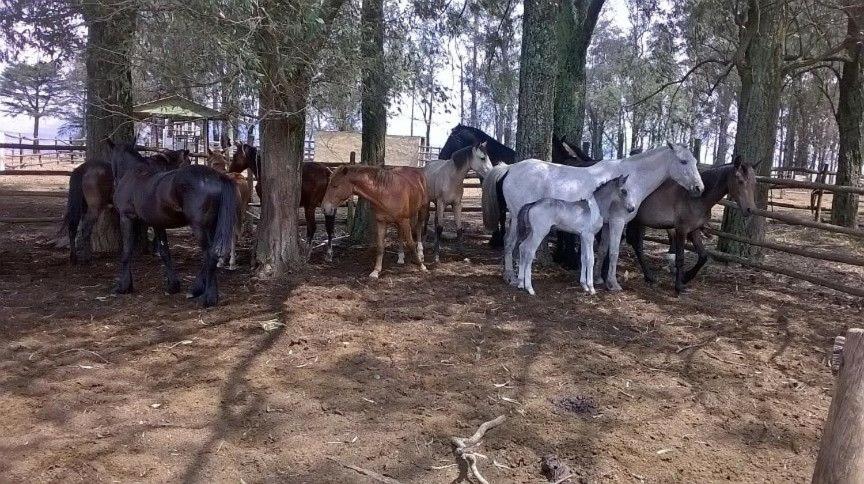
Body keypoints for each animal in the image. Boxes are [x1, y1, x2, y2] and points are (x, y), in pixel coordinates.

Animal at [109, 141, 237, 308]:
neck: (133, 175)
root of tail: (217, 177)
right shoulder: (157, 223)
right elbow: (164, 252)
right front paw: (173, 286)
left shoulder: (126, 218)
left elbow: (126, 251)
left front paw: (123, 286)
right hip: (213, 226)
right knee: (211, 254)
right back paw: (196, 290)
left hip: (199, 227)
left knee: (210, 255)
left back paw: (208, 298)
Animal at [482, 143, 705, 290]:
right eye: (683, 161)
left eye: (695, 161)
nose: (699, 188)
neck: (632, 178)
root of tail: (510, 168)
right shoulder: (617, 222)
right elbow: (614, 252)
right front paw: (613, 284)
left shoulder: (605, 225)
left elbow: (602, 250)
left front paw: (597, 279)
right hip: (517, 217)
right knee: (512, 243)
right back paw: (513, 277)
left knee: (512, 244)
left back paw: (512, 277)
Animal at [624, 155, 758, 293]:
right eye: (740, 181)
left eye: (754, 183)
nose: (750, 210)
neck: (696, 198)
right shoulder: (681, 230)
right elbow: (680, 258)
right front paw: (679, 286)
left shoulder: (694, 230)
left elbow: (703, 256)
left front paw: (686, 277)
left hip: (638, 222)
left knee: (637, 245)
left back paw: (649, 277)